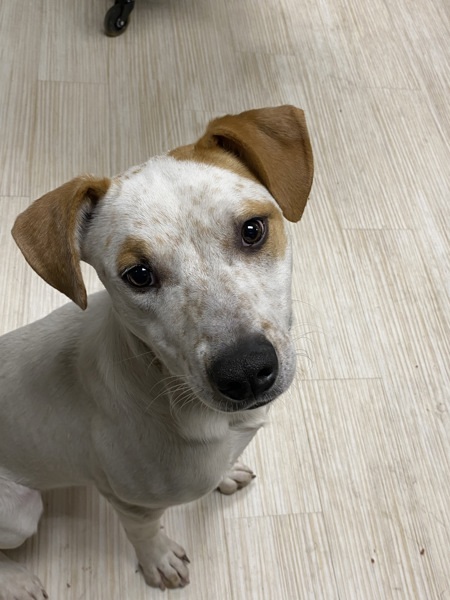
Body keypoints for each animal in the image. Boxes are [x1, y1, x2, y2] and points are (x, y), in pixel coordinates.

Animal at [0, 105, 312, 596]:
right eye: (139, 275)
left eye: (252, 229)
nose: (245, 371)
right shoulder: (127, 500)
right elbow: (143, 533)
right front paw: (159, 560)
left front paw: (226, 472)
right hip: (19, 514)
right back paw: (14, 580)